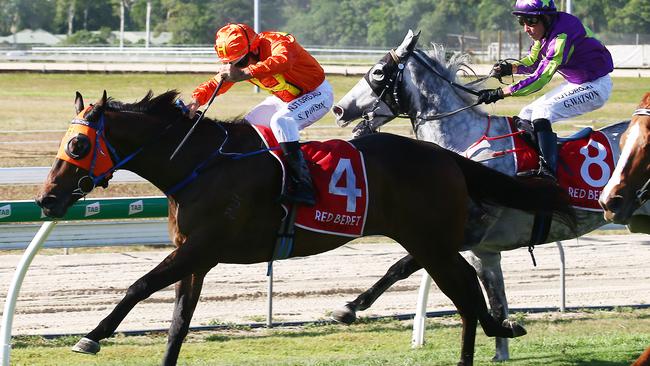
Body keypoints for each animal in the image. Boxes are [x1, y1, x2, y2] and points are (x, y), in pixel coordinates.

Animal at [35, 90, 572, 364]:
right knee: (466, 290)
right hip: (430, 241)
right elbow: (177, 325)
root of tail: (446, 156)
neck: (199, 163)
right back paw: (499, 326)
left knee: (464, 291)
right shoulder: (197, 259)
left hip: (432, 242)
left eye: (79, 146)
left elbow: (138, 286)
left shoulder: (201, 248)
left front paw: (91, 336)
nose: (46, 200)